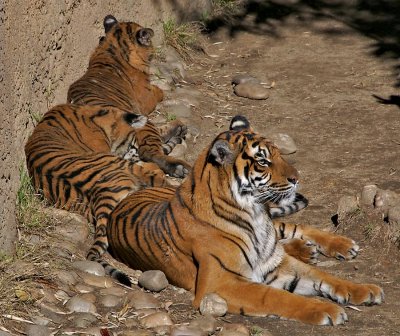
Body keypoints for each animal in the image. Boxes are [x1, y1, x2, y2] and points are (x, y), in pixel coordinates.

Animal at [107, 115, 384, 326]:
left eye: (279, 154)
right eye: (262, 161)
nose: (297, 178)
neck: (255, 215)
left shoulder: (275, 263)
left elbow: (323, 275)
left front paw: (365, 290)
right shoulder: (220, 282)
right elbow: (275, 297)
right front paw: (326, 310)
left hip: (279, 230)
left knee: (294, 228)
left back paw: (338, 245)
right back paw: (307, 250)